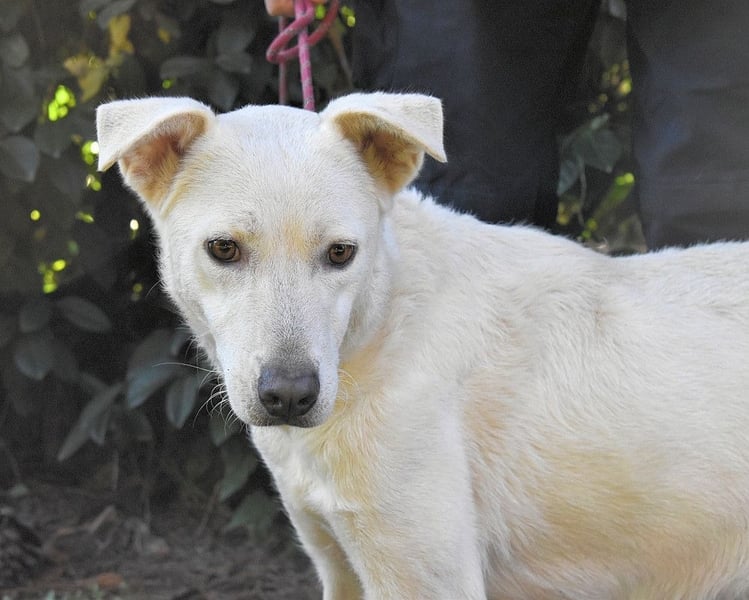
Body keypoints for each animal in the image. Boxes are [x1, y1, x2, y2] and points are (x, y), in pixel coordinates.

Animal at [96, 92, 749, 599]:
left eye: (341, 253)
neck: (382, 332)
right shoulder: (339, 565)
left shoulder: (423, 574)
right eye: (223, 249)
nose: (289, 396)